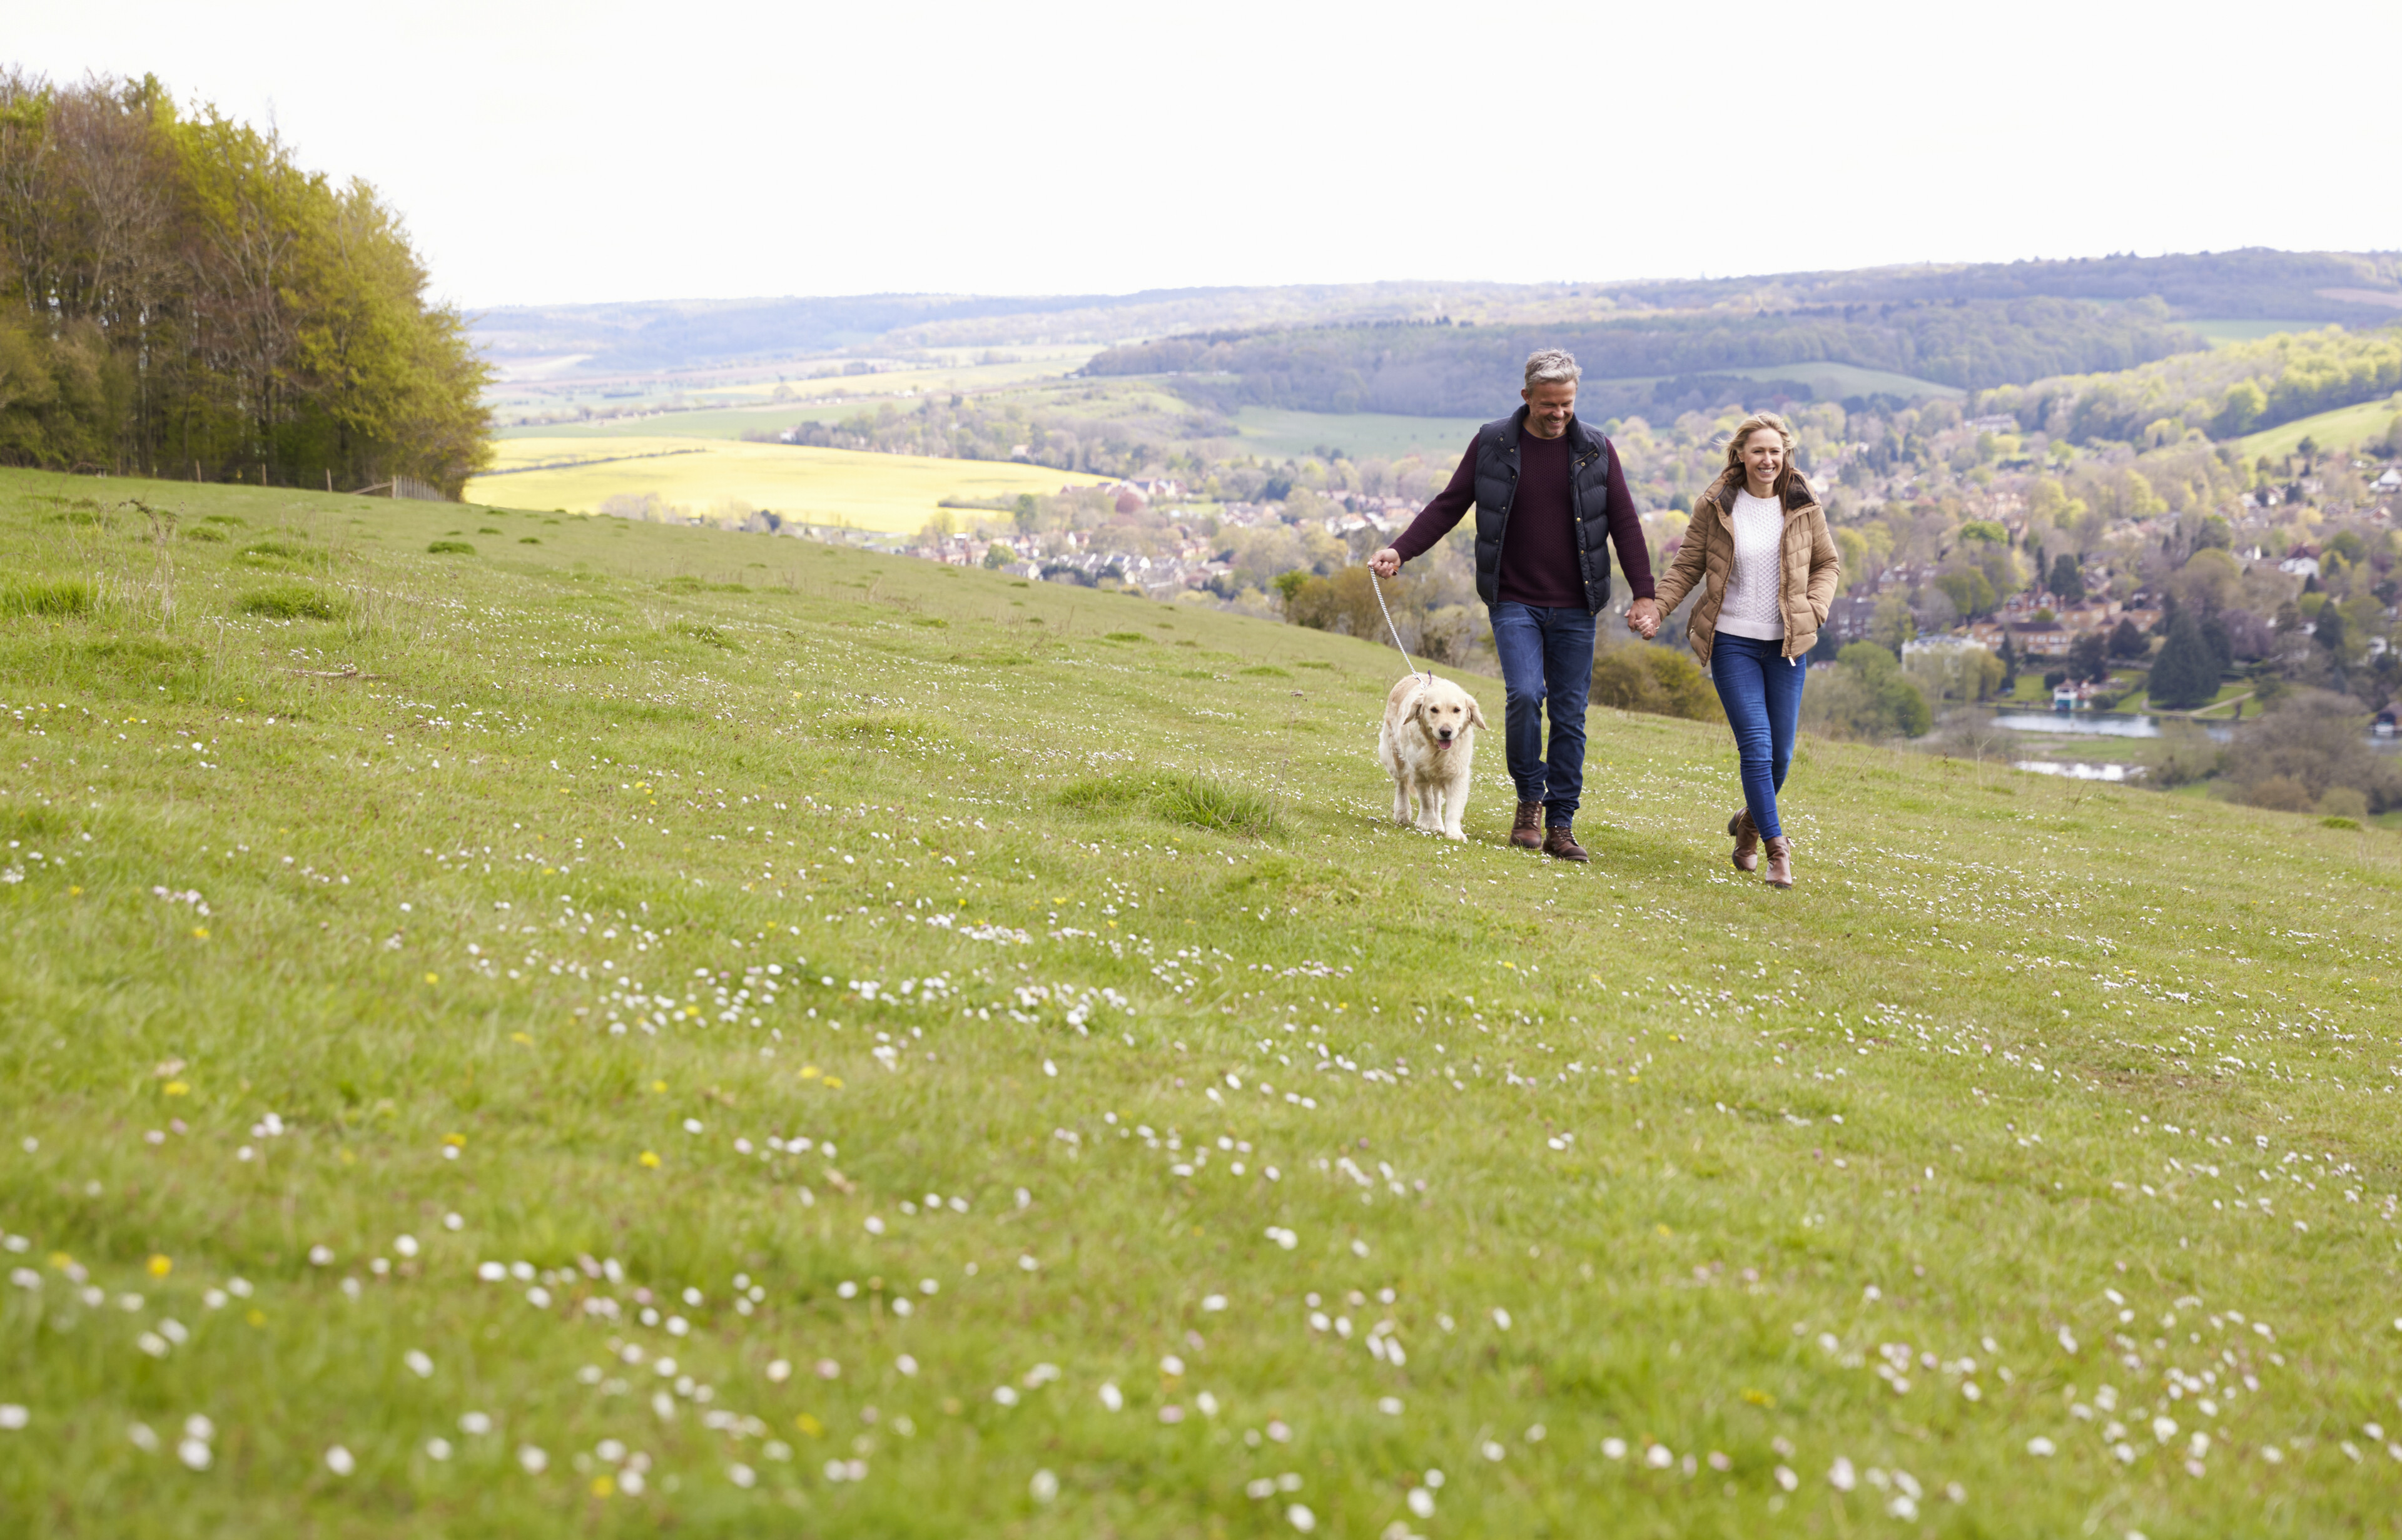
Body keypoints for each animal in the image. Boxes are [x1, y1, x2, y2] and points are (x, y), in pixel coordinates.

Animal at [1383, 672, 1489, 841]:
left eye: (1456, 710)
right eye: (1434, 710)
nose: (1446, 731)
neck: (1437, 750)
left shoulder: (1457, 774)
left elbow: (1454, 806)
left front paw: (1454, 833)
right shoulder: (1420, 772)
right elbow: (1427, 800)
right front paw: (1426, 823)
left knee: (1437, 799)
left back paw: (1438, 825)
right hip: (1396, 756)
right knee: (1401, 785)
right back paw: (1403, 814)